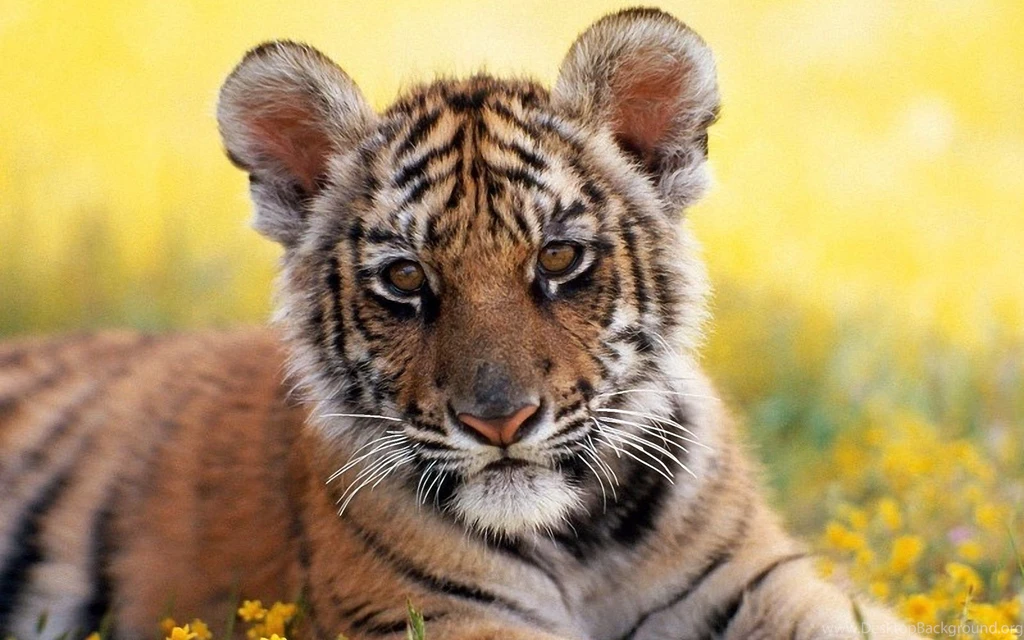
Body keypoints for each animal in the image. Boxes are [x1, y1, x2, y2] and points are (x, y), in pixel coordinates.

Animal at [0, 8, 924, 640]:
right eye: (407, 278)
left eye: (558, 258)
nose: (500, 422)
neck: (580, 543)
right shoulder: (436, 618)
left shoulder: (768, 583)